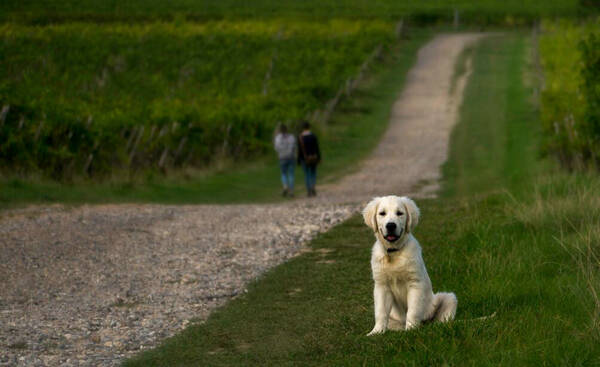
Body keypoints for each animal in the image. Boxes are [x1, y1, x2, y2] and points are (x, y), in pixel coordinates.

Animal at [364, 196, 458, 336]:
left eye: (399, 213)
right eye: (382, 213)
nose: (391, 225)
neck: (394, 252)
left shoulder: (415, 283)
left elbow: (413, 310)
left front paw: (411, 330)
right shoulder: (381, 286)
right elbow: (380, 312)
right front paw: (376, 332)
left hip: (448, 298)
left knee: (442, 318)